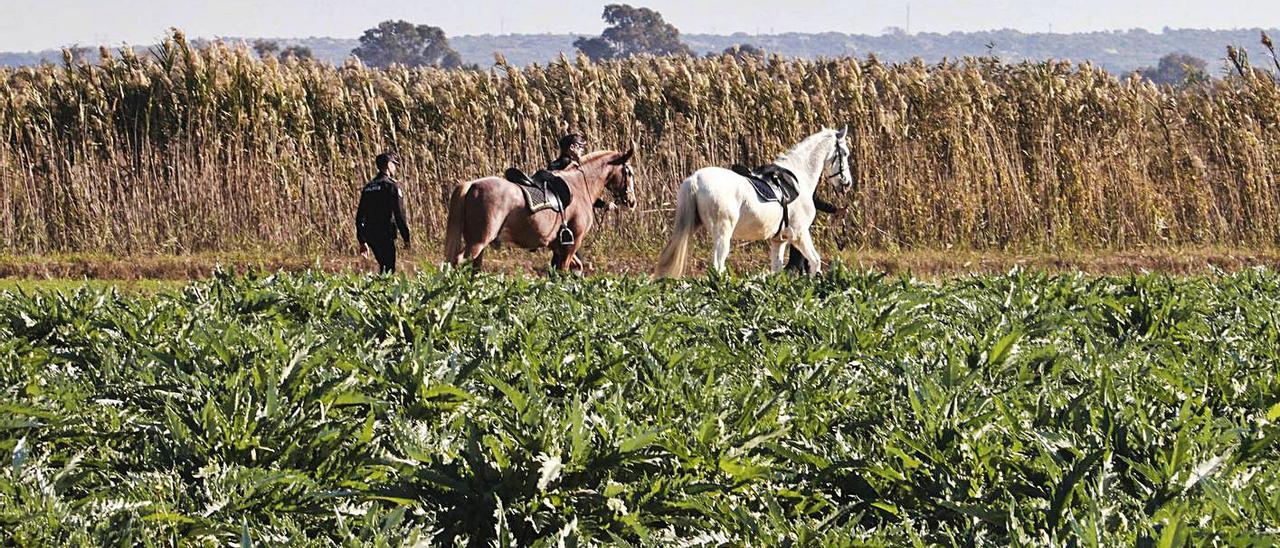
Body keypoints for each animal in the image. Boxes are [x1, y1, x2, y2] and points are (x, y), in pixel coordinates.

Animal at [445, 148, 634, 270]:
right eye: (629, 172)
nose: (632, 202)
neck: (579, 186)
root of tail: (472, 185)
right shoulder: (572, 244)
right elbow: (564, 271)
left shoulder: (557, 246)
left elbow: (574, 268)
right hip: (478, 242)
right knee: (457, 261)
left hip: (479, 245)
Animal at [655, 128, 855, 277]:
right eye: (845, 153)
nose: (847, 183)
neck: (800, 177)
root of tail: (695, 179)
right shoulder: (799, 234)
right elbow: (815, 262)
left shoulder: (778, 240)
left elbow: (776, 270)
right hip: (722, 234)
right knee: (718, 267)